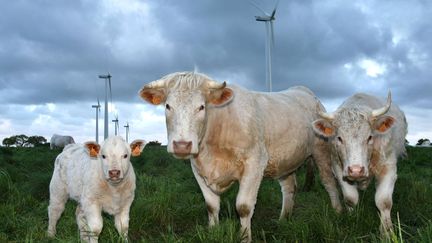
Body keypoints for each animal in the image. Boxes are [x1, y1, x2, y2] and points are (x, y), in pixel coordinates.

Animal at [140, 70, 342, 241]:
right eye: (168, 106)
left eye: (201, 107)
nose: (182, 145)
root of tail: (305, 92)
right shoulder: (197, 168)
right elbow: (211, 205)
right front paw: (212, 232)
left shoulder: (255, 164)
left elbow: (243, 207)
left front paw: (245, 237)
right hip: (285, 160)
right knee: (289, 187)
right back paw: (284, 219)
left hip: (321, 152)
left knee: (329, 182)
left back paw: (338, 212)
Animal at [310, 91, 408, 234]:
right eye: (339, 138)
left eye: (370, 137)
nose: (356, 170)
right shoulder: (339, 168)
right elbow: (350, 198)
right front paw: (352, 218)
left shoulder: (388, 167)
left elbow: (384, 201)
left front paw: (387, 231)